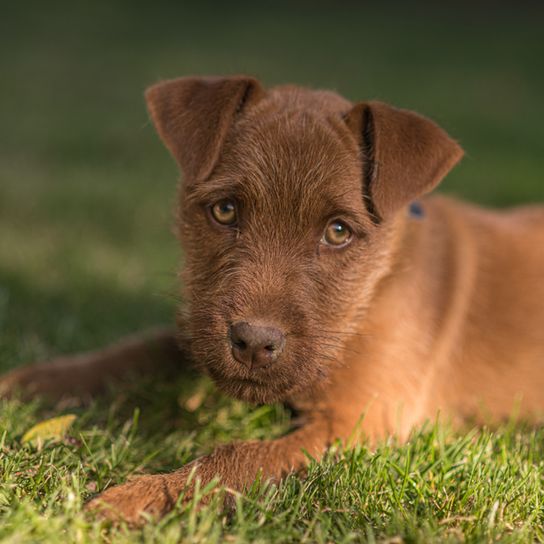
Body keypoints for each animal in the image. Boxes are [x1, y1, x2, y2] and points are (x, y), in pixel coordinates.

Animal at [1, 75, 544, 524]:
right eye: (224, 210)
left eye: (338, 231)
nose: (253, 342)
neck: (375, 288)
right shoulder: (198, 329)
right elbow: (135, 351)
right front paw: (31, 382)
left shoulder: (357, 422)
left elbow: (235, 457)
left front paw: (138, 497)